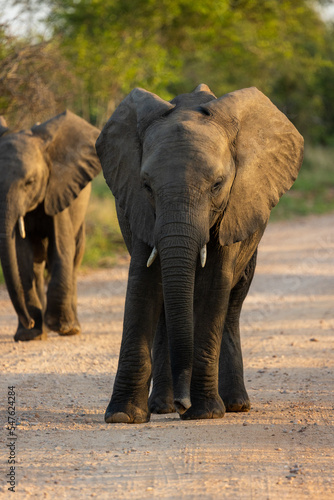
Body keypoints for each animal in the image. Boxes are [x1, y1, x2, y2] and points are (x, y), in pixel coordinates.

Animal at [0, 111, 101, 342]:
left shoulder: (58, 189)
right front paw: (28, 334)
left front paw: (61, 327)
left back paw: (72, 328)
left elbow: (61, 250)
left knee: (75, 257)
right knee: (37, 265)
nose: (28, 320)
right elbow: (22, 258)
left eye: (30, 182)